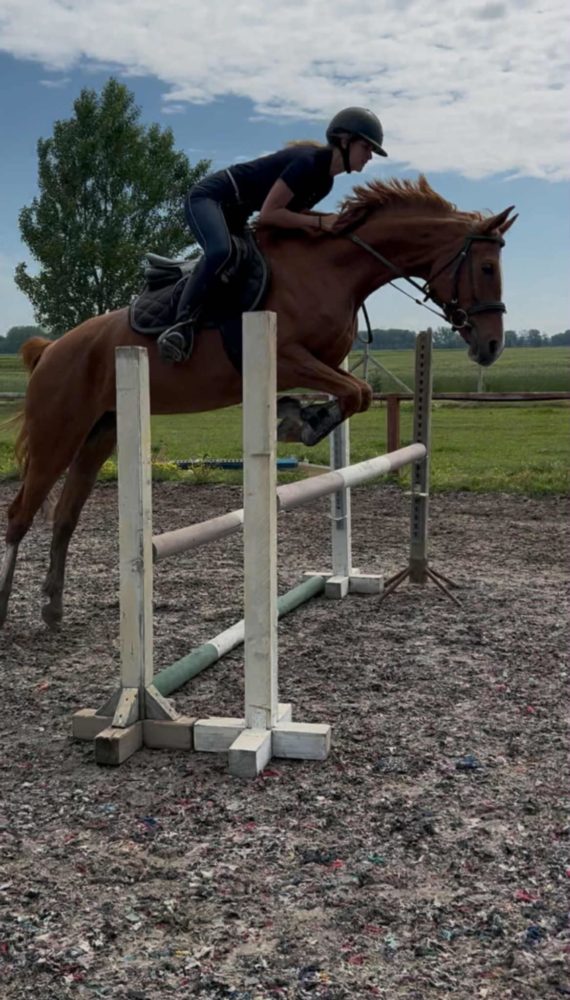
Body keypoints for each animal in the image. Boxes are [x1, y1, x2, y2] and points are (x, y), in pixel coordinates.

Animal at [0, 175, 517, 629]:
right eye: (487, 268)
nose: (491, 347)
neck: (333, 269)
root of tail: (51, 349)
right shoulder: (288, 356)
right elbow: (355, 392)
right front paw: (300, 422)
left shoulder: (327, 362)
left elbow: (359, 393)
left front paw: (299, 417)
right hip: (57, 435)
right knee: (20, 515)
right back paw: (6, 608)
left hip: (98, 435)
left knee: (65, 517)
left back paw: (52, 608)